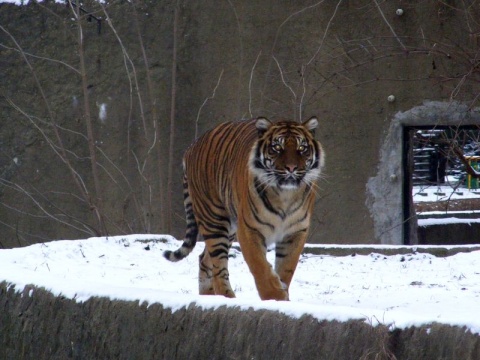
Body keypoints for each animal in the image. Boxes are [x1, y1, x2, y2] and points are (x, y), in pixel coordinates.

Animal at [163, 116, 324, 300]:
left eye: (302, 148)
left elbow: (286, 269)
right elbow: (259, 266)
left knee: (204, 259)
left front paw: (282, 293)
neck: (285, 195)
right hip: (214, 218)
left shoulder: (295, 232)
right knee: (218, 265)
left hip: (230, 226)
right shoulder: (249, 229)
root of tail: (191, 147)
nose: (291, 168)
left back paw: (208, 296)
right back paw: (227, 297)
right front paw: (275, 295)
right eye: (277, 147)